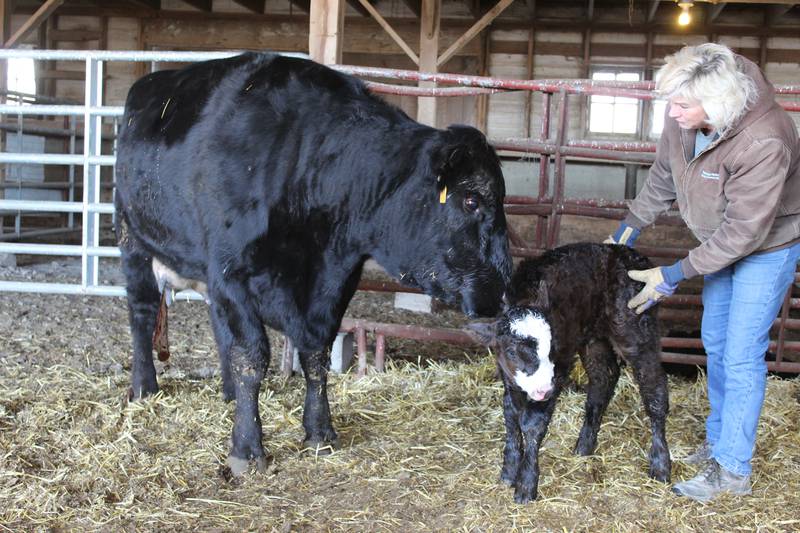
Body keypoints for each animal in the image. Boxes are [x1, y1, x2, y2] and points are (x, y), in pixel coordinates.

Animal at [112, 53, 510, 474]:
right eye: (471, 200)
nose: (498, 290)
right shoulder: (233, 271)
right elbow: (251, 356)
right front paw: (247, 449)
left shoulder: (334, 279)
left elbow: (315, 352)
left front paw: (319, 431)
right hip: (133, 238)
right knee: (142, 313)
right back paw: (144, 387)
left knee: (219, 328)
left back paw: (228, 393)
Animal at [468, 243, 668, 500]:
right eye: (512, 352)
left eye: (551, 347)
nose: (543, 390)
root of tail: (632, 255)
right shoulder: (510, 378)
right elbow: (511, 418)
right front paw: (509, 471)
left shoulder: (559, 368)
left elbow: (532, 424)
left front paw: (526, 484)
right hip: (593, 337)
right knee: (604, 376)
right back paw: (584, 446)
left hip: (635, 329)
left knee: (654, 386)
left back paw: (661, 464)